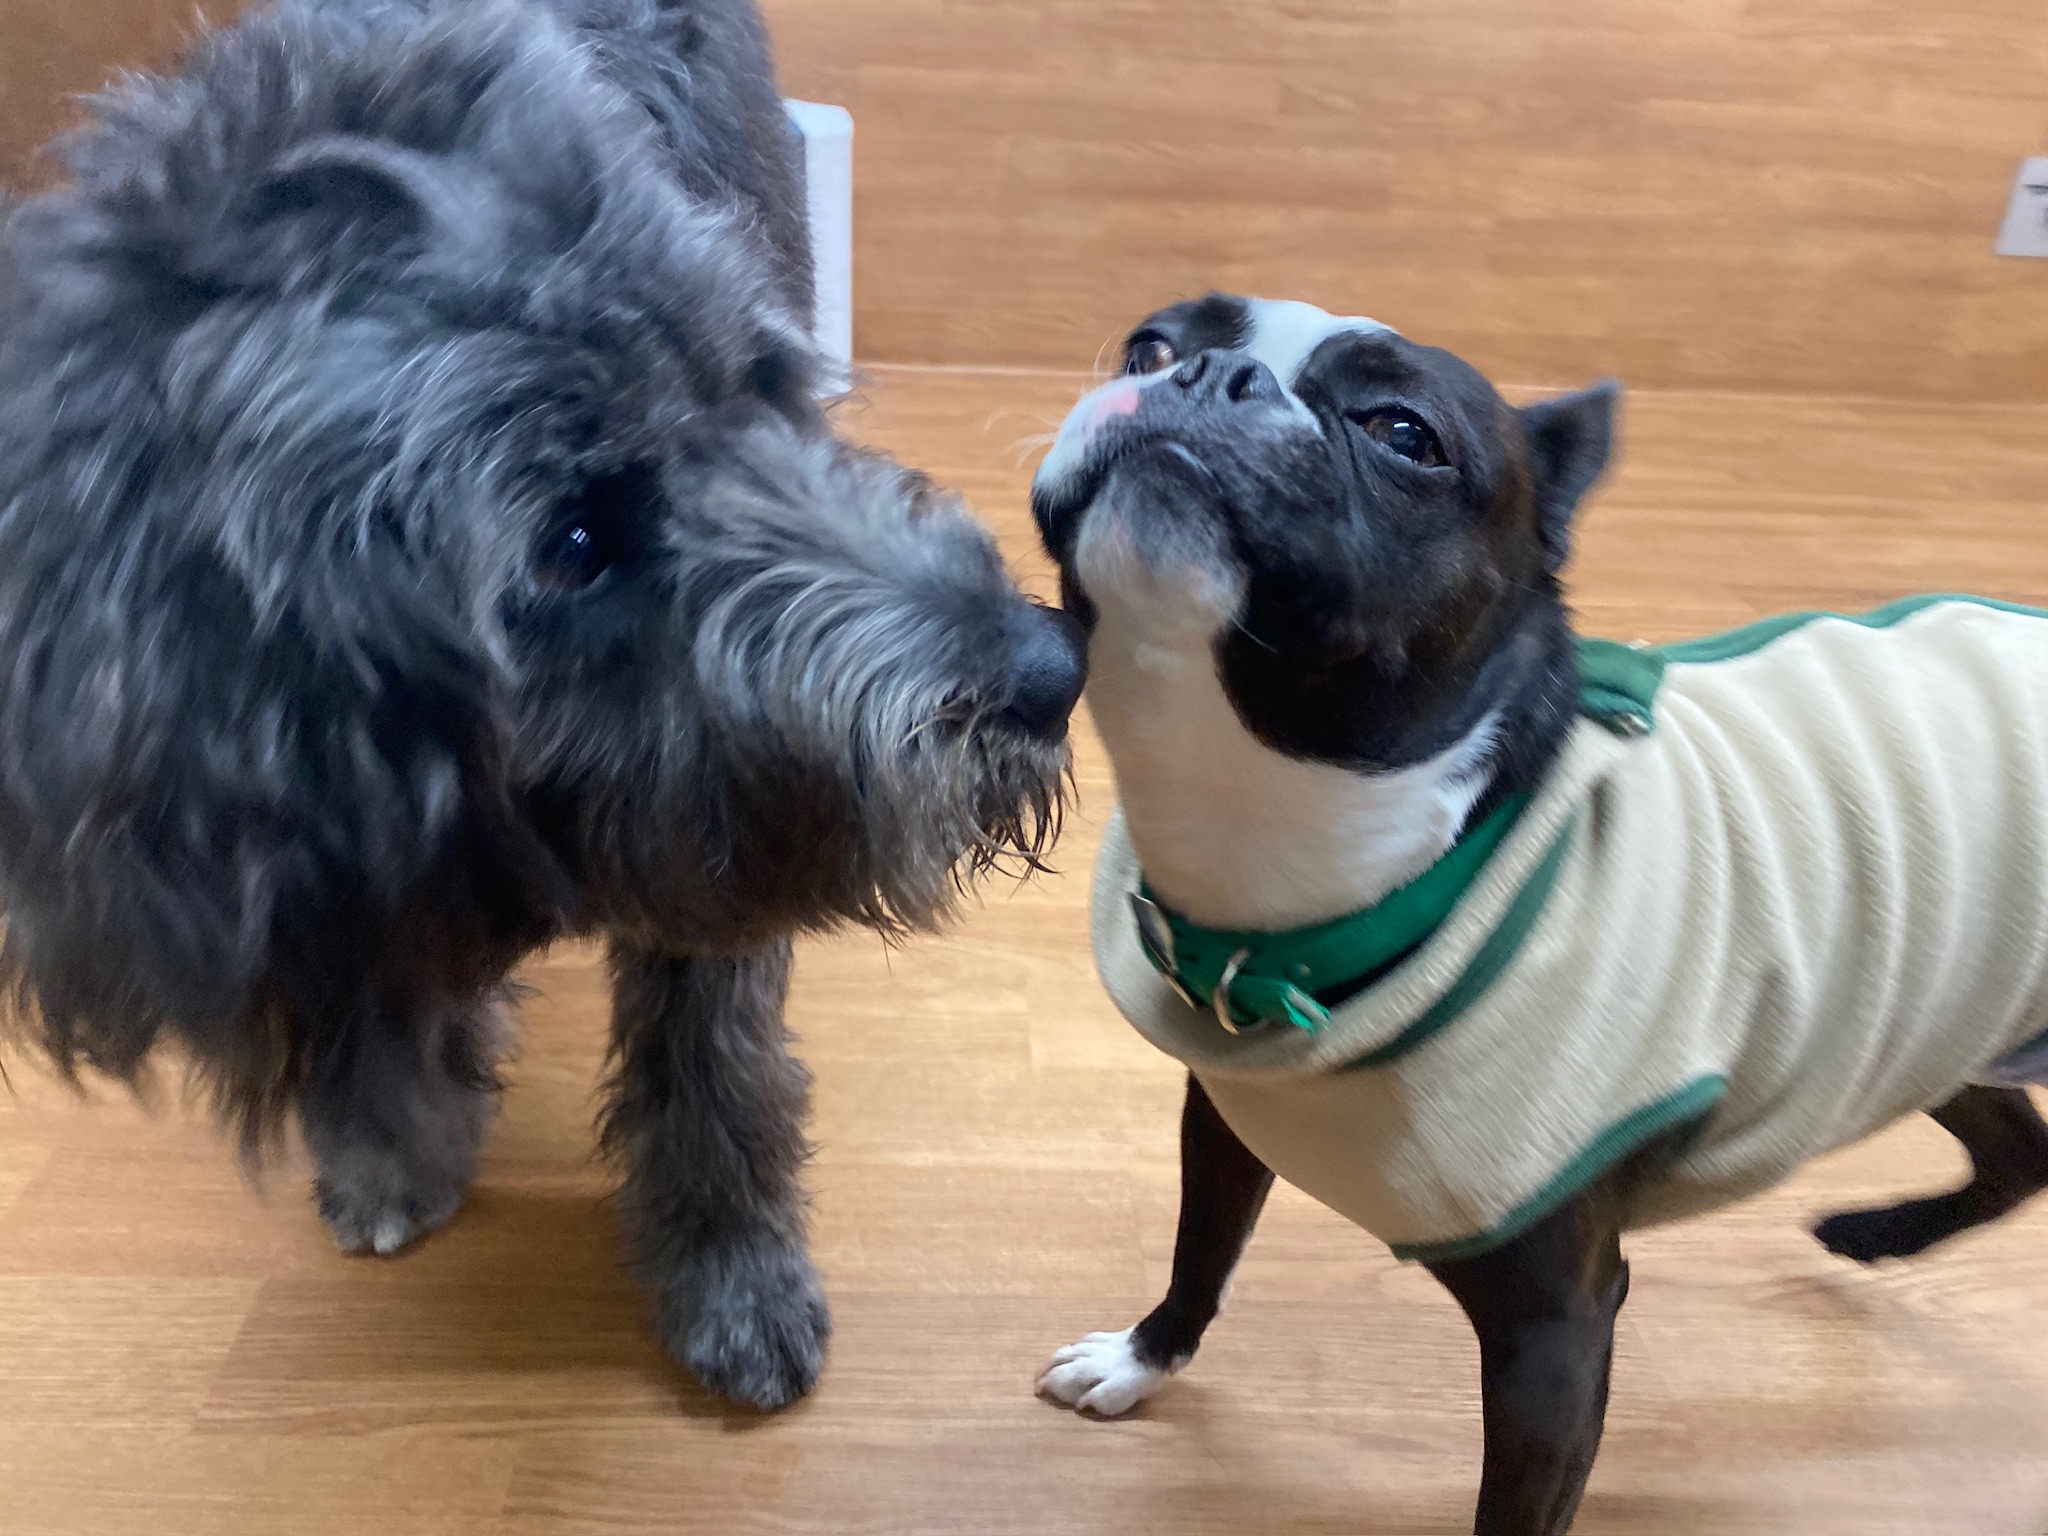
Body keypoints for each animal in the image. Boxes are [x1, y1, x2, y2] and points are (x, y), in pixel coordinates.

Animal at [0, 0, 1086, 1412]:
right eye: (572, 543)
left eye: (759, 386)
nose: (1050, 670)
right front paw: (396, 1154)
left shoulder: (714, 824)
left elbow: (712, 1052)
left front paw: (730, 1269)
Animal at [1028, 293, 2048, 1532]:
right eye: (1152, 345)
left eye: (1401, 430)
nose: (1207, 375)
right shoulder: (1224, 1122)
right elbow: (1199, 1252)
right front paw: (1140, 1359)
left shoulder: (1551, 1339)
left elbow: (1513, 1506)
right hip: (1941, 1023)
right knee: (2019, 1153)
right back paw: (1878, 1233)